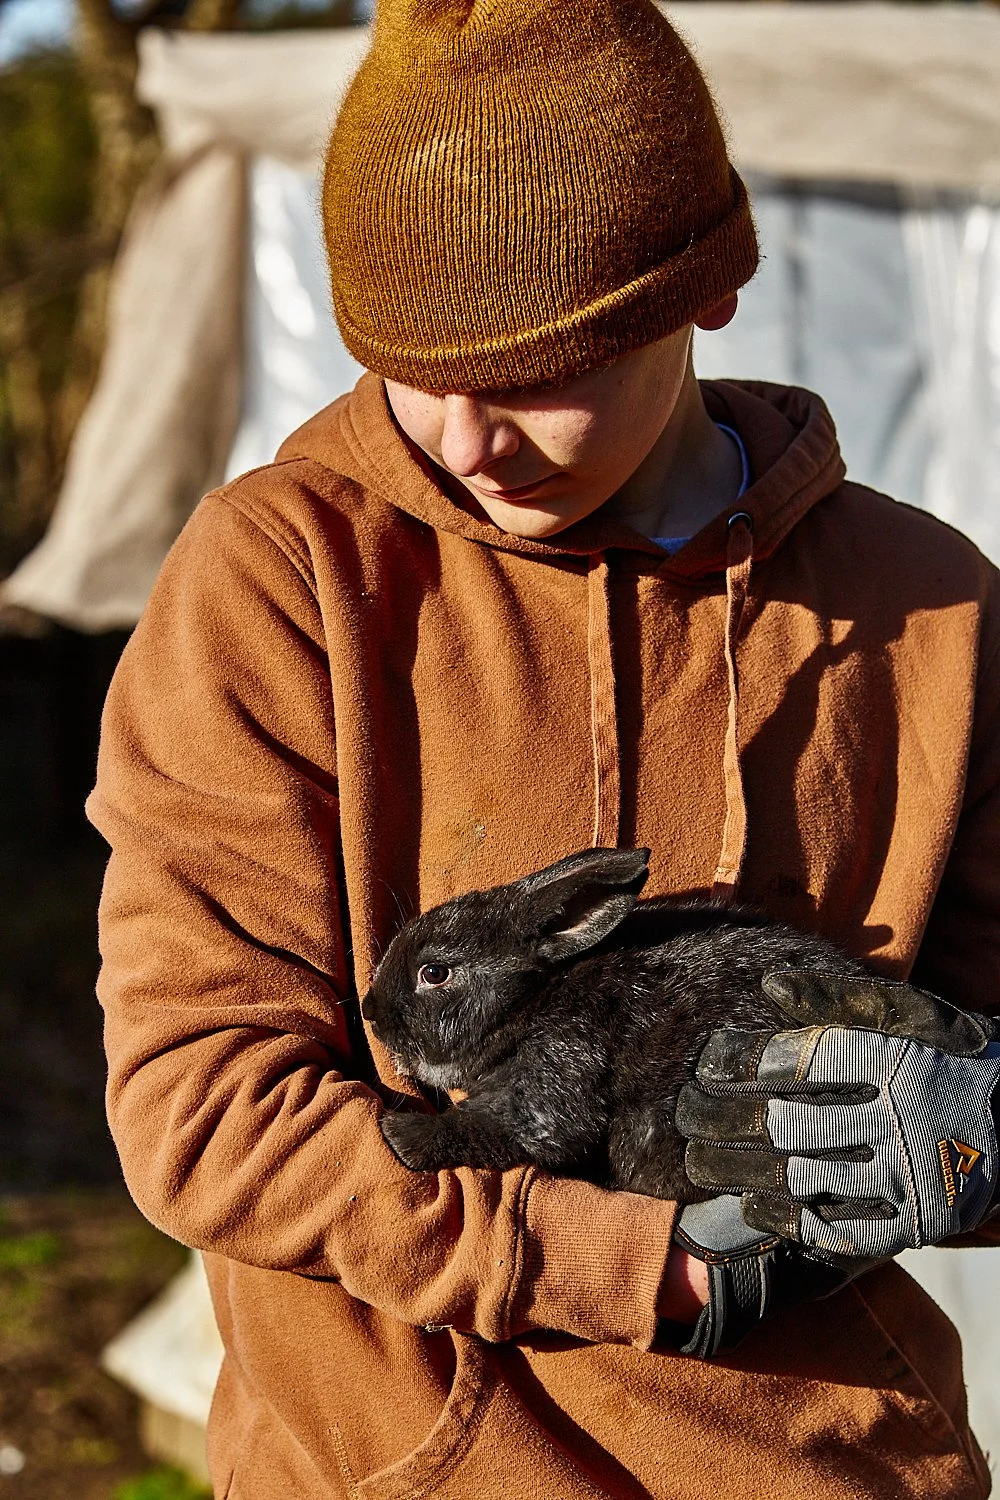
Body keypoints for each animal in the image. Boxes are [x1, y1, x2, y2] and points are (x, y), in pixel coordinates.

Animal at [361, 847, 869, 1201]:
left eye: (434, 973)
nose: (370, 1012)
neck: (531, 1005)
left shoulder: (559, 1069)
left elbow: (494, 1127)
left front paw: (400, 1134)